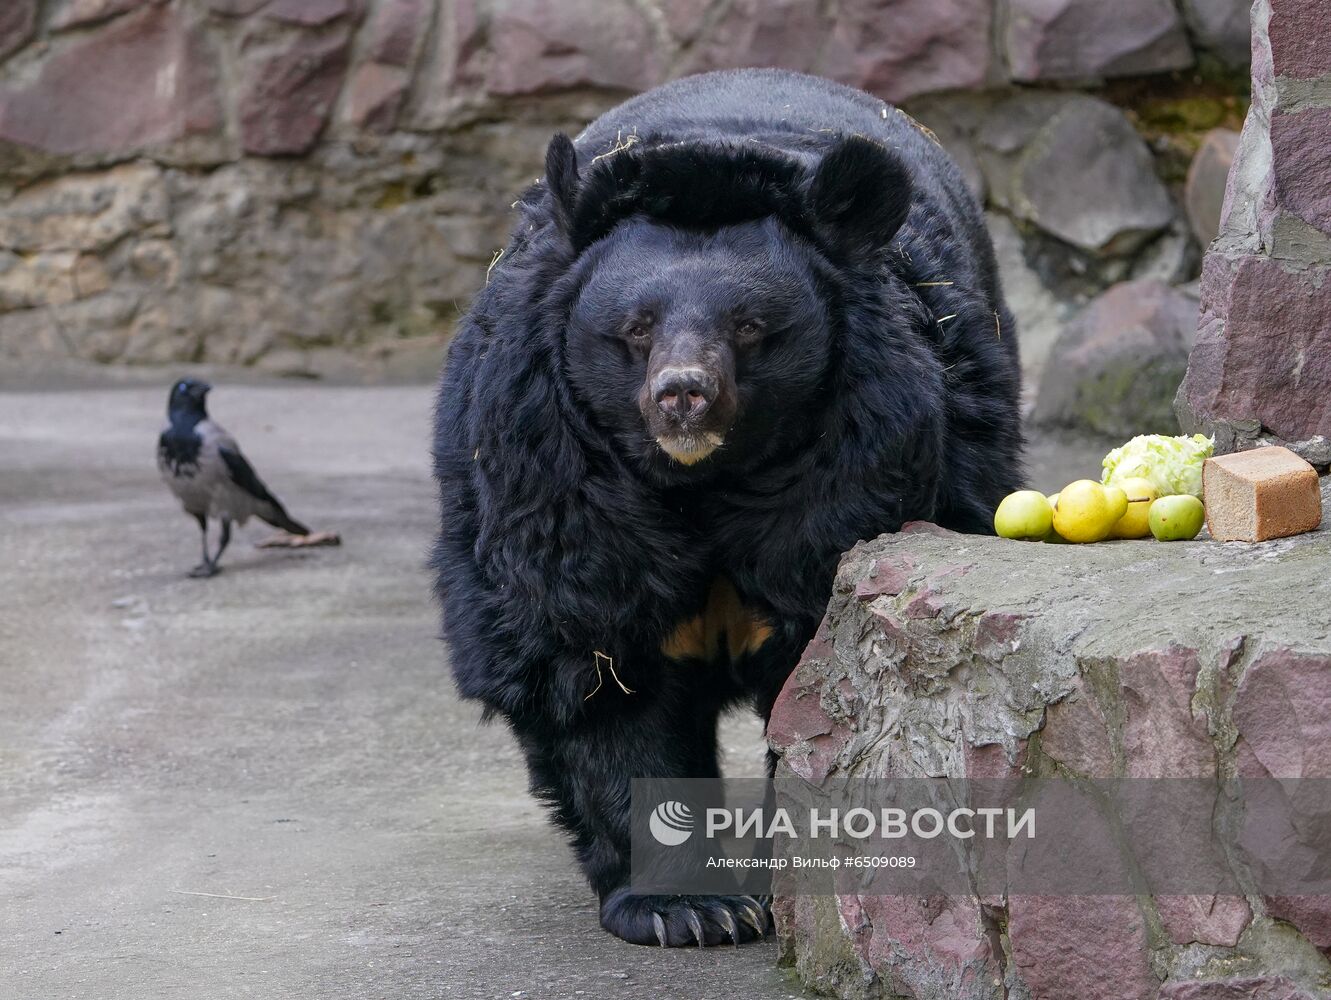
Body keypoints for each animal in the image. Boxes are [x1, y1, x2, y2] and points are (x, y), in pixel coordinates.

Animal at [431, 68, 1022, 948]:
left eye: (748, 326)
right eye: (635, 328)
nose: (683, 395)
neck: (701, 482)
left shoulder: (858, 465)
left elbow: (817, 661)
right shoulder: (550, 479)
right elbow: (592, 661)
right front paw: (687, 908)